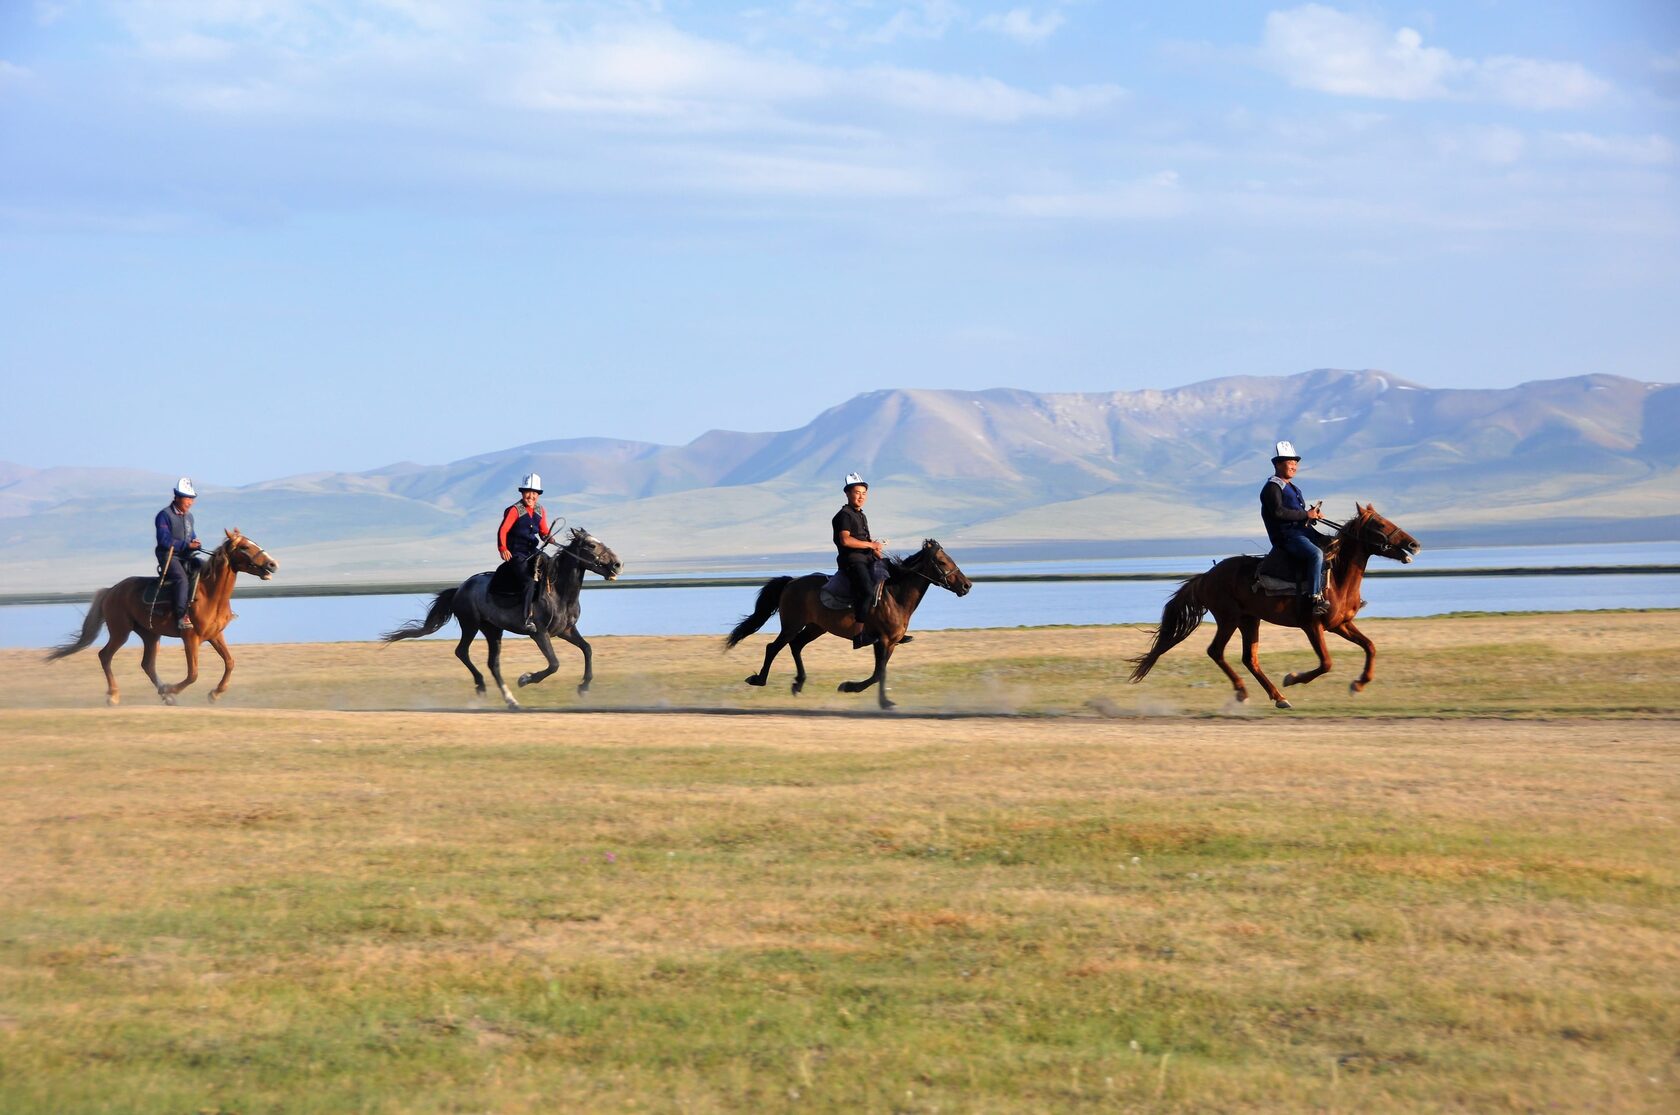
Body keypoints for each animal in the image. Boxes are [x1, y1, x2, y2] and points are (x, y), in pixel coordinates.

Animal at [43, 530, 282, 705]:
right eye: (244, 547)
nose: (272, 565)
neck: (210, 594)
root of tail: (111, 590)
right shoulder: (190, 638)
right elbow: (193, 673)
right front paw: (172, 689)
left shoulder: (215, 635)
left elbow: (230, 662)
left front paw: (214, 693)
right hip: (120, 632)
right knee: (105, 656)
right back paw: (114, 695)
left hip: (150, 635)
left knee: (147, 664)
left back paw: (163, 694)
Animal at [384, 530, 628, 705]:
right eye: (591, 545)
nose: (618, 564)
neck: (559, 592)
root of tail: (460, 588)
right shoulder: (539, 634)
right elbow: (554, 664)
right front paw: (525, 679)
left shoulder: (565, 631)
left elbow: (587, 649)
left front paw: (584, 687)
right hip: (471, 625)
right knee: (462, 652)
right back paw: (482, 687)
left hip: (493, 630)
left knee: (493, 663)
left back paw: (510, 700)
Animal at [722, 537, 974, 708]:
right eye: (941, 561)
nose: (966, 585)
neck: (895, 596)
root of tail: (791, 582)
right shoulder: (882, 640)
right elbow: (879, 674)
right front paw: (861, 692)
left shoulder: (890, 643)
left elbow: (879, 673)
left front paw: (870, 695)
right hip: (792, 625)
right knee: (773, 647)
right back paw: (759, 680)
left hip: (816, 627)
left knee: (796, 646)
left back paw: (798, 683)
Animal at [1128, 503, 1417, 705]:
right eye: (1379, 524)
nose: (1414, 544)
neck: (1337, 578)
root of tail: (1206, 576)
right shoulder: (1312, 626)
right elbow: (1326, 663)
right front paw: (1292, 678)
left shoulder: (1340, 624)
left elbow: (1370, 647)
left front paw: (1358, 684)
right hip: (1229, 619)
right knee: (1216, 651)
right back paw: (1245, 692)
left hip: (1249, 620)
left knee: (1249, 658)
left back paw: (1278, 697)